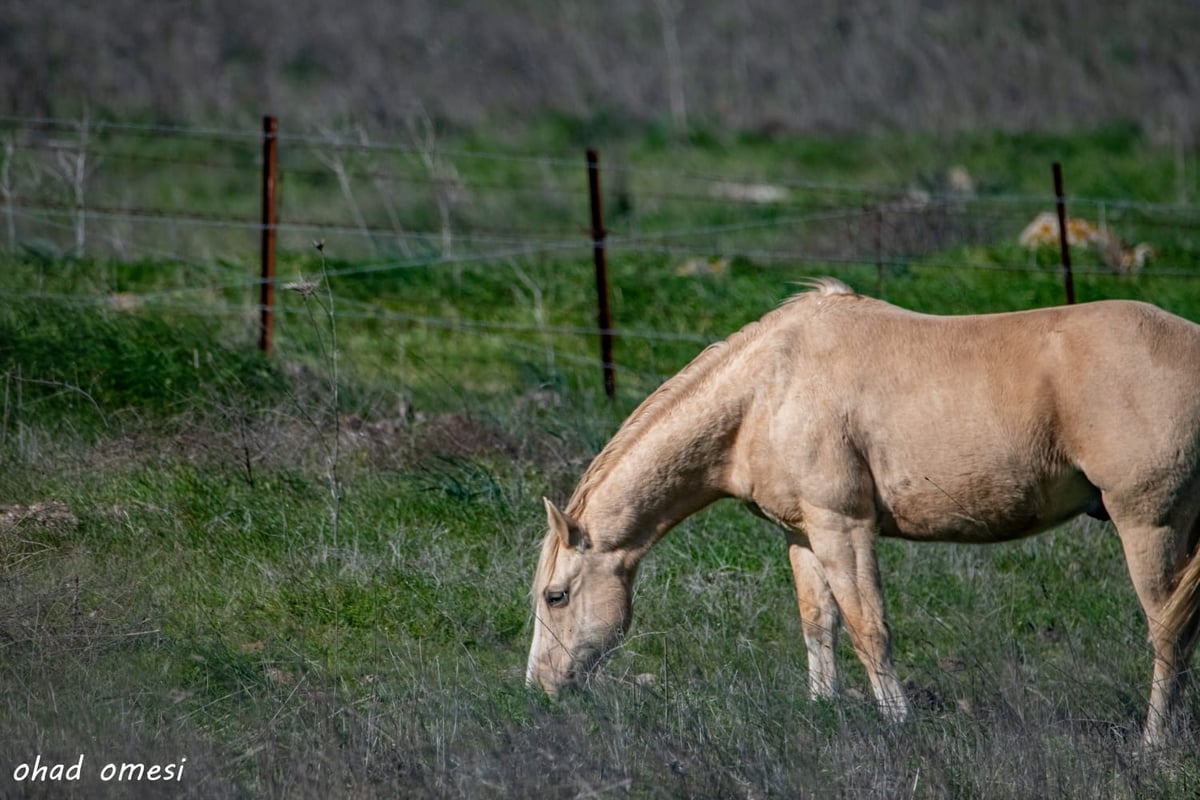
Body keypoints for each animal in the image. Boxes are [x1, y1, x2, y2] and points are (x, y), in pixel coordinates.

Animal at [528, 278, 1200, 748]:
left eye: (555, 596)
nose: (537, 690)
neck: (766, 391)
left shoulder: (843, 527)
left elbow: (868, 629)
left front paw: (899, 726)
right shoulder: (805, 536)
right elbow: (819, 624)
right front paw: (823, 713)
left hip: (1151, 526)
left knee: (1169, 631)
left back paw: (1151, 745)